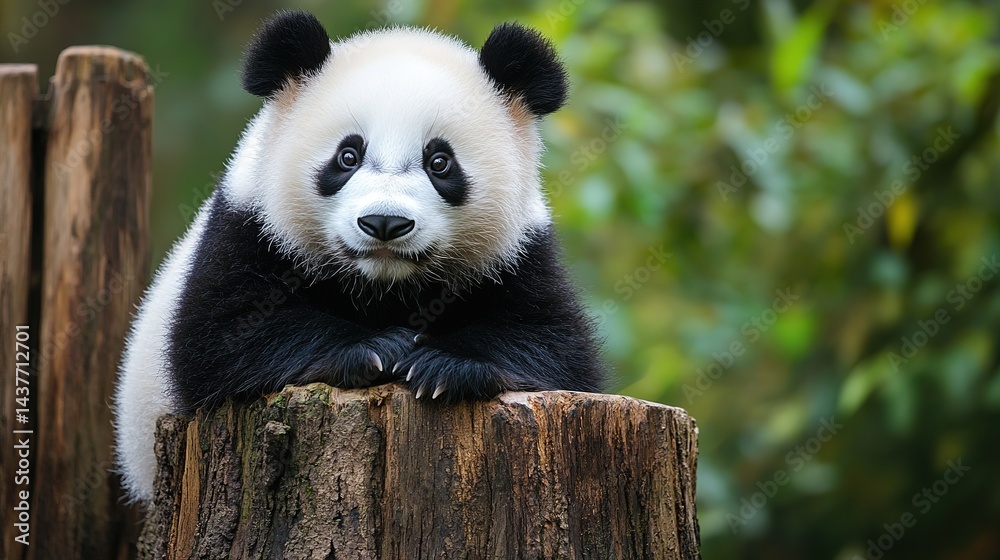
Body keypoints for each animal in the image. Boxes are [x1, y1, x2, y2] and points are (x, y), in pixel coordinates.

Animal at [114, 10, 605, 503]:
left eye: (440, 162)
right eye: (348, 155)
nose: (385, 223)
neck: (384, 284)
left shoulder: (519, 252)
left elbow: (555, 347)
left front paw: (444, 365)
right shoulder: (247, 227)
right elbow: (220, 336)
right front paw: (377, 348)